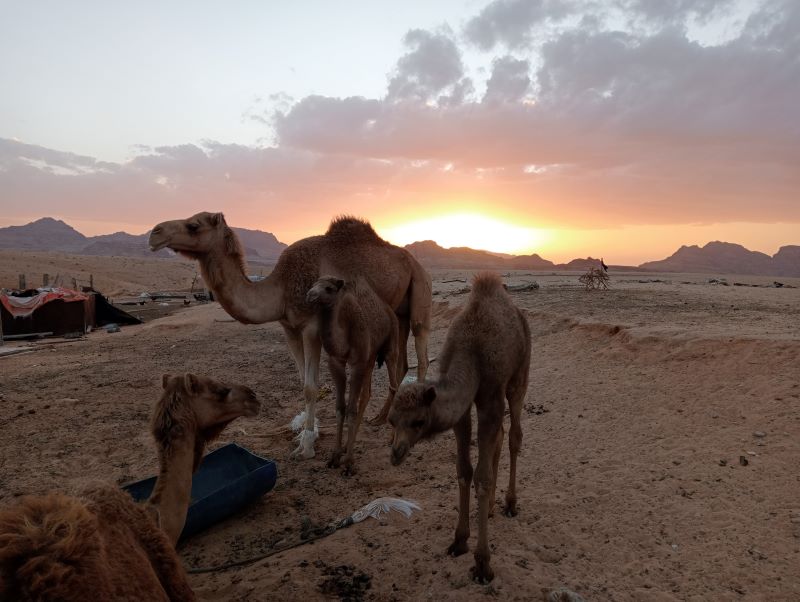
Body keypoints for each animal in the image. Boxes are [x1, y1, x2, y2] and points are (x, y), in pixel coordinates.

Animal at [306, 274, 400, 474]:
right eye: (313, 285)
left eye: (328, 288)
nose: (310, 295)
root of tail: (389, 311)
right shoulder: (336, 362)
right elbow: (340, 407)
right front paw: (335, 455)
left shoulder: (357, 363)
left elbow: (351, 409)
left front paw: (348, 462)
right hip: (371, 357)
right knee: (366, 395)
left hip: (390, 347)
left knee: (394, 386)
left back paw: (392, 439)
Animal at [388, 272, 532, 580]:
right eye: (391, 420)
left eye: (418, 421)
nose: (396, 453)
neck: (471, 355)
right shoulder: (463, 411)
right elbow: (464, 470)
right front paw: (459, 541)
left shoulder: (490, 397)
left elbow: (482, 476)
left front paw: (483, 563)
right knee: (501, 438)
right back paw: (489, 509)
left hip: (519, 375)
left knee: (514, 435)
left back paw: (510, 503)